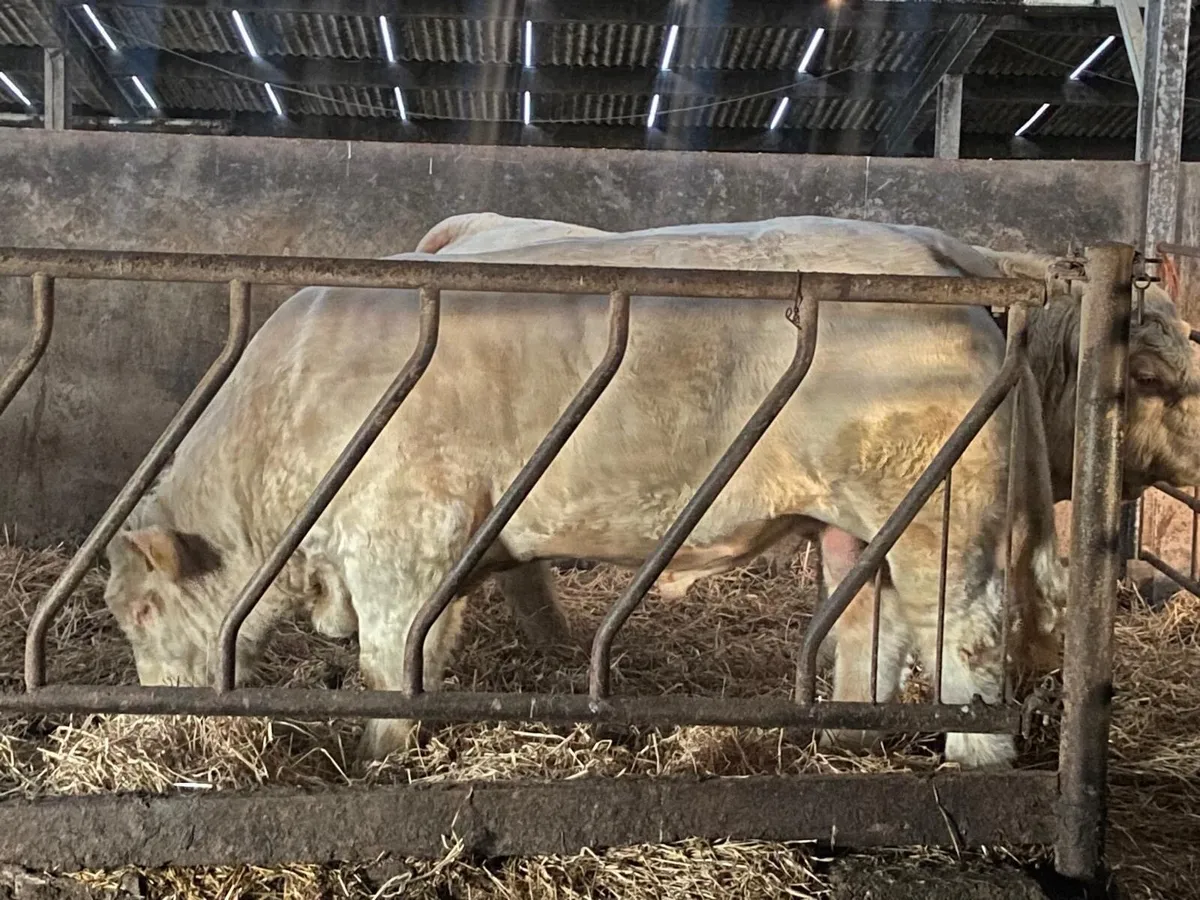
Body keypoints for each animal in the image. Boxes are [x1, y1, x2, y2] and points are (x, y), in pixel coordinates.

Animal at [103, 215, 1066, 769]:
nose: (156, 724)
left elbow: (393, 659)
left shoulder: (404, 537)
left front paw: (377, 758)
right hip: (859, 524)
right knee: (875, 624)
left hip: (939, 510)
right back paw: (838, 740)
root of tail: (937, 252)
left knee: (968, 632)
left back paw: (973, 763)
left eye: (142, 611)